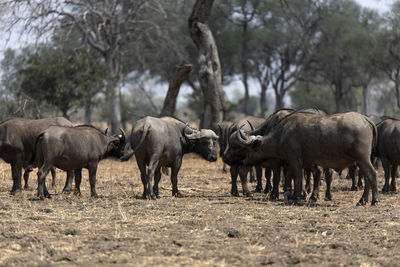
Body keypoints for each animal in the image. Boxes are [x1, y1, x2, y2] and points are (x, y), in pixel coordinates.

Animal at [227, 112, 380, 206]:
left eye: (247, 149)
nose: (244, 162)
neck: (283, 133)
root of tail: (366, 119)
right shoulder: (295, 162)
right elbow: (293, 178)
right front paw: (294, 194)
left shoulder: (295, 161)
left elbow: (297, 178)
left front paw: (296, 196)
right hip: (362, 161)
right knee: (367, 178)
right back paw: (362, 200)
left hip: (363, 159)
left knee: (372, 175)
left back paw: (374, 200)